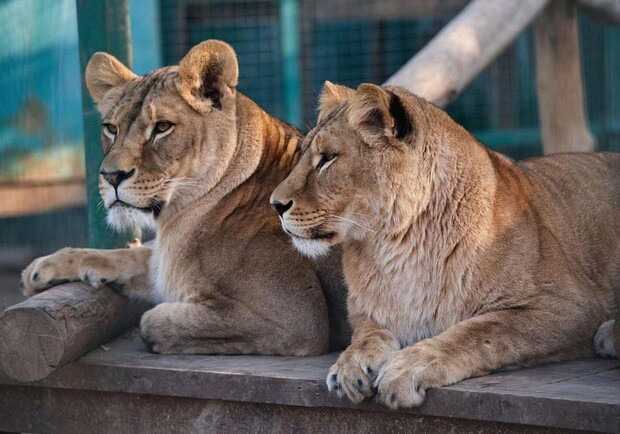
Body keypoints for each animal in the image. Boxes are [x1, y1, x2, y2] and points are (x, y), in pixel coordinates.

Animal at [20, 39, 348, 352]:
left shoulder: (296, 319)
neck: (176, 217)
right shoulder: (162, 259)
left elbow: (152, 321)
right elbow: (132, 255)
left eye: (162, 127)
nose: (111, 176)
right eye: (111, 128)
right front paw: (44, 268)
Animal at [272, 83, 620, 408]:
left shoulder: (568, 306)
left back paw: (609, 337)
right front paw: (350, 366)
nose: (275, 204)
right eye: (304, 155)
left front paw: (405, 370)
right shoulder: (367, 313)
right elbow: (367, 335)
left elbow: (480, 332)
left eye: (327, 159)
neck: (396, 246)